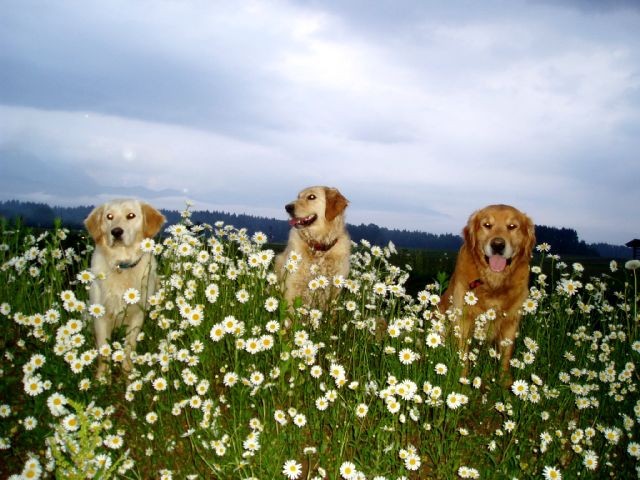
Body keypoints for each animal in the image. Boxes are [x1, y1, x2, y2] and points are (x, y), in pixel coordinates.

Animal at [84, 199, 166, 378]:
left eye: (131, 215)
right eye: (109, 216)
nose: (116, 232)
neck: (122, 265)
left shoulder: (138, 314)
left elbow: (129, 347)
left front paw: (129, 374)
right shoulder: (100, 315)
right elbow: (103, 351)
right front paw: (102, 378)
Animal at [440, 203, 536, 382]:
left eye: (512, 226)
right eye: (487, 225)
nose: (498, 245)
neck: (493, 283)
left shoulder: (511, 321)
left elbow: (505, 358)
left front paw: (505, 384)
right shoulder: (463, 318)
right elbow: (463, 356)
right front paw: (463, 381)